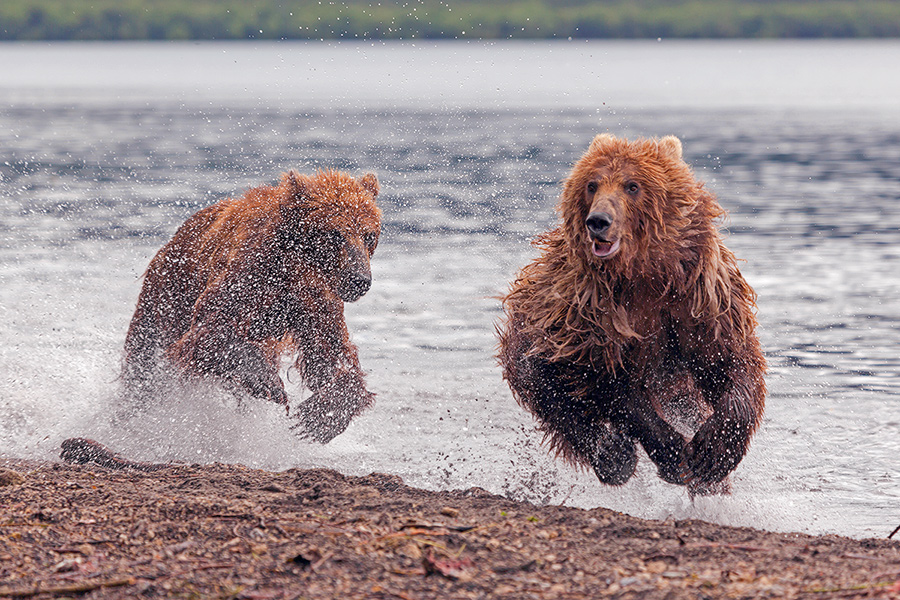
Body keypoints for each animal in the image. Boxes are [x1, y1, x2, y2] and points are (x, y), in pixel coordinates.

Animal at [121, 169, 382, 440]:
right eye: (335, 233)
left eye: (368, 235)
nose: (359, 279)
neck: (293, 265)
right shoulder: (248, 273)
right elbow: (209, 332)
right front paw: (269, 382)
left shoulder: (315, 298)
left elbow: (329, 352)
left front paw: (322, 416)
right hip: (165, 298)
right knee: (144, 365)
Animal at [500, 136, 768, 496]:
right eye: (592, 184)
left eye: (632, 185)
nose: (598, 220)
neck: (644, 274)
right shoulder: (590, 315)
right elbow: (611, 385)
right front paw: (675, 455)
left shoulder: (700, 300)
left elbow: (729, 361)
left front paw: (713, 454)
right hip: (534, 336)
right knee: (552, 393)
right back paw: (615, 455)